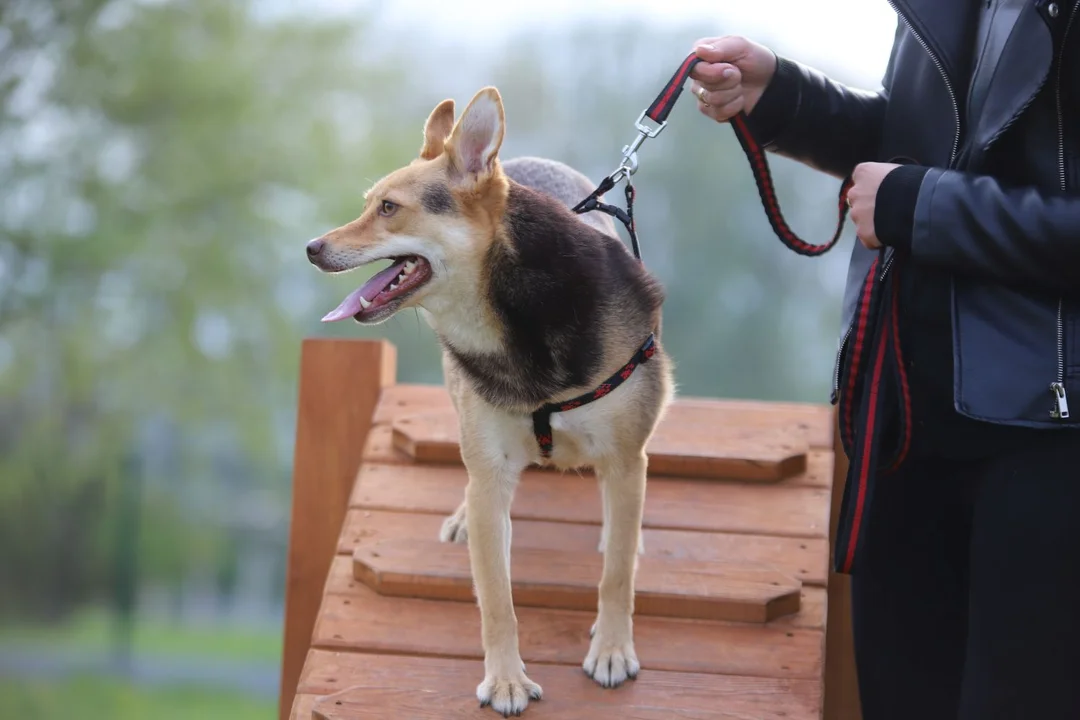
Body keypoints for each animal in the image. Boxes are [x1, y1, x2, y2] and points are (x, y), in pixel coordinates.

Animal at [306, 85, 673, 716]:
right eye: (369, 204)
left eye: (389, 208)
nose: (311, 247)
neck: (512, 313)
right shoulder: (493, 471)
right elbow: (497, 598)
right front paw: (505, 680)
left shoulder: (627, 458)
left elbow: (616, 574)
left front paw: (611, 650)